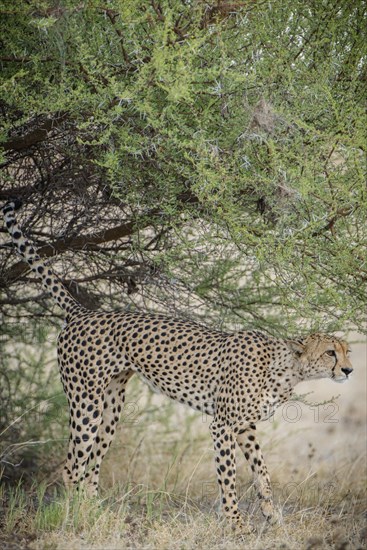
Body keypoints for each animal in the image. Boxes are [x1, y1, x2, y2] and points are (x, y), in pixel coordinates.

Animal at [2, 202, 354, 536]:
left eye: (347, 351)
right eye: (329, 353)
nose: (349, 371)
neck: (286, 368)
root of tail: (82, 312)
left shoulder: (246, 427)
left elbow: (262, 474)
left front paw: (273, 518)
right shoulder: (223, 425)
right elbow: (229, 478)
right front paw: (237, 525)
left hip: (111, 408)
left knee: (92, 464)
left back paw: (95, 512)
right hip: (85, 403)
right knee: (71, 466)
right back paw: (74, 517)